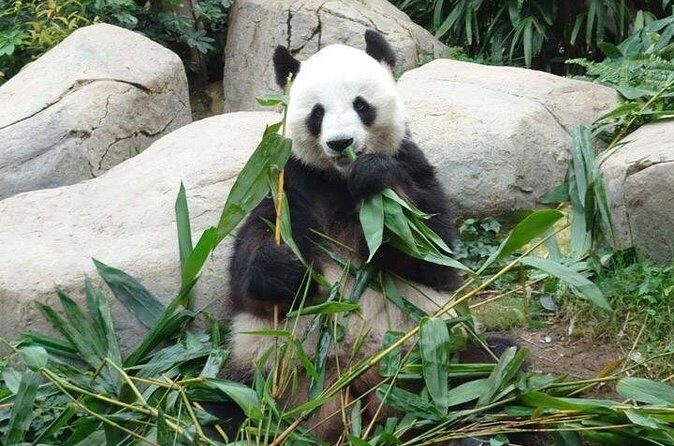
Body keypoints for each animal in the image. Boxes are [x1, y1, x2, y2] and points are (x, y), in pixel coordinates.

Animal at [225, 30, 465, 441]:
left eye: (361, 105)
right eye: (317, 113)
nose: (341, 143)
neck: (337, 180)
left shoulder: (411, 162)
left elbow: (433, 252)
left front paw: (375, 180)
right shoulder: (289, 183)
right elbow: (250, 262)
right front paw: (284, 269)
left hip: (431, 349)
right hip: (263, 368)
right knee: (223, 404)